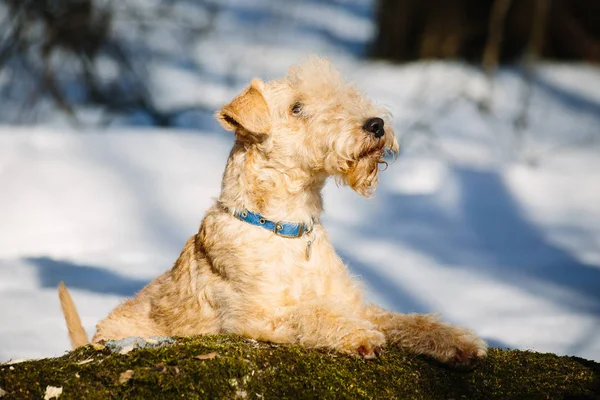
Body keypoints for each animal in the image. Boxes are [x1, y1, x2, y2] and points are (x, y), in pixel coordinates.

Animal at [58, 55, 486, 366]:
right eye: (297, 108)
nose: (376, 124)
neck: (287, 226)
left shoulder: (353, 302)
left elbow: (405, 319)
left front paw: (459, 341)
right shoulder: (255, 316)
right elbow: (310, 314)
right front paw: (360, 336)